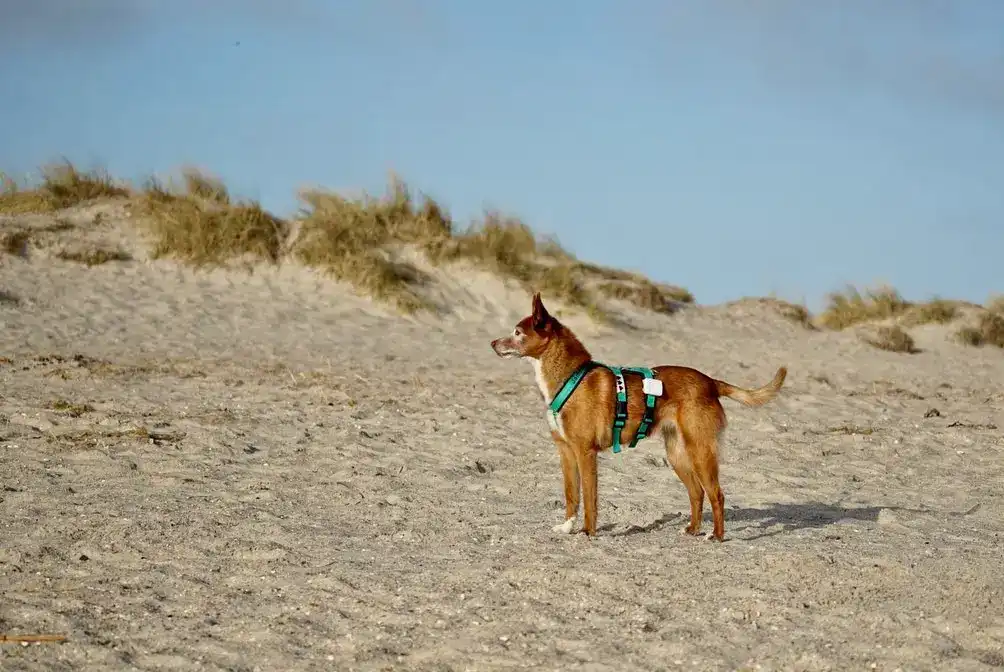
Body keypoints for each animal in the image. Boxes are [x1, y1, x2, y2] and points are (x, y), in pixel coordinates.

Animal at [489, 291, 787, 538]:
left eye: (517, 332)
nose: (492, 343)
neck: (570, 376)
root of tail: (711, 382)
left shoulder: (585, 453)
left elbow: (590, 498)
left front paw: (587, 532)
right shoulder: (565, 452)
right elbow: (571, 494)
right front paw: (567, 526)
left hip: (701, 451)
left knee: (717, 494)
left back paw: (716, 536)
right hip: (677, 454)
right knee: (696, 492)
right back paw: (692, 530)